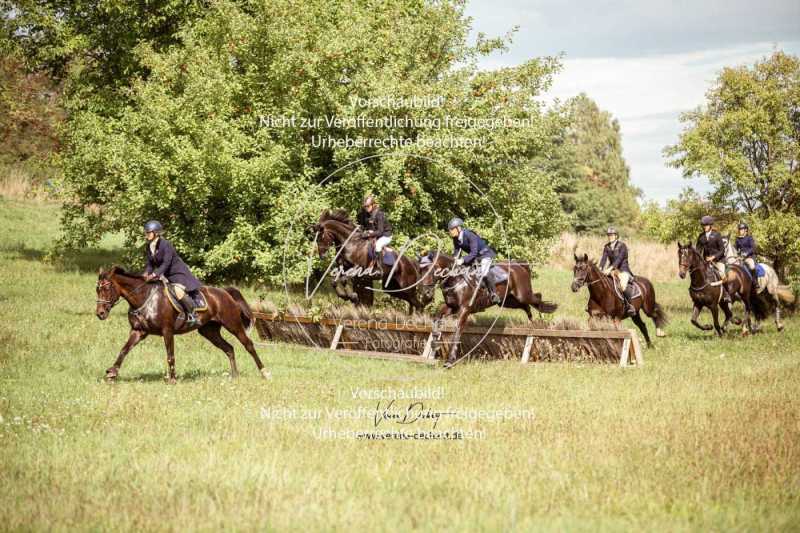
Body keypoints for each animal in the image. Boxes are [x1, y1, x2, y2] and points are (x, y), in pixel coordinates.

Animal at [95, 266, 270, 382]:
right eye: (97, 289)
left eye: (107, 288)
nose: (100, 313)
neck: (144, 298)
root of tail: (225, 292)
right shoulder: (138, 331)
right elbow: (124, 350)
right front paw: (112, 372)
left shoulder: (167, 331)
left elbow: (170, 356)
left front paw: (172, 379)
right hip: (209, 331)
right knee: (229, 348)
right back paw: (234, 376)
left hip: (233, 325)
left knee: (248, 345)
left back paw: (265, 372)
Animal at [418, 249, 556, 366]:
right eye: (420, 271)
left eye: (433, 269)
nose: (426, 293)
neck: (456, 279)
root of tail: (519, 266)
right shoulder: (451, 307)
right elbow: (436, 317)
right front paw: (434, 342)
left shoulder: (464, 310)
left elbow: (457, 331)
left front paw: (450, 361)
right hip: (507, 301)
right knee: (527, 306)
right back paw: (532, 322)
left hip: (523, 295)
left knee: (537, 298)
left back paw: (544, 318)